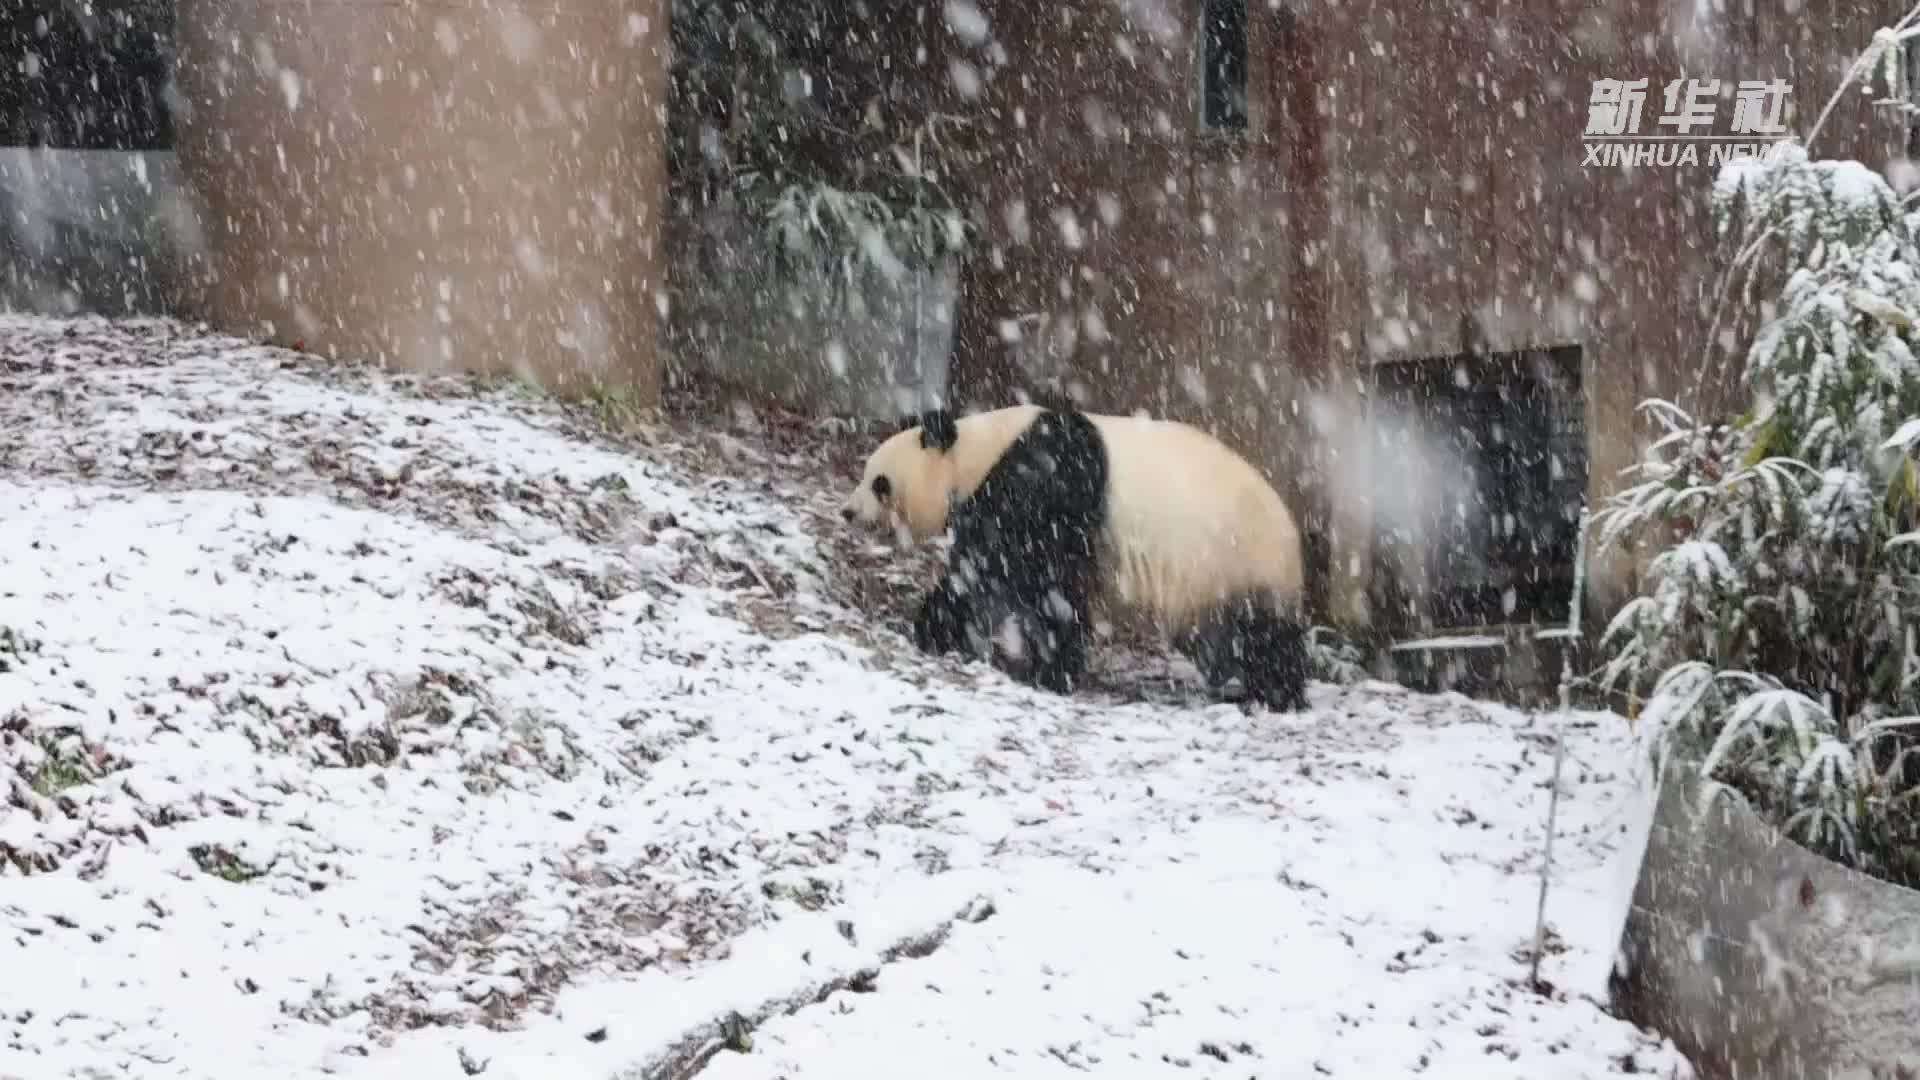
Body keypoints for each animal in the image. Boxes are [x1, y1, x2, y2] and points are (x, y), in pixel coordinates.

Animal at [844, 399, 1320, 711]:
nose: (848, 511)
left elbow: (1018, 575)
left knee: (1250, 633)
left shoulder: (1045, 483)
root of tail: (1295, 539)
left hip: (1233, 562)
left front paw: (1045, 668)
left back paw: (1272, 693)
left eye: (879, 482)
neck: (978, 452)